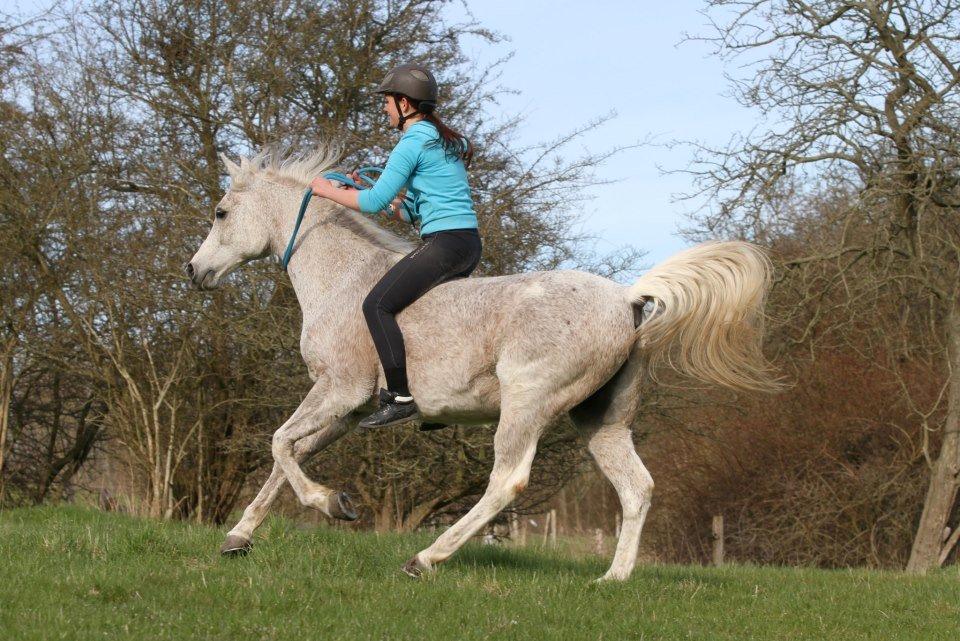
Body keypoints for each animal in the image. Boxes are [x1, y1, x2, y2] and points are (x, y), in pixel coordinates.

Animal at [186, 146, 780, 580]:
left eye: (220, 213)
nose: (194, 271)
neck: (340, 279)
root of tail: (628, 299)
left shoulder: (340, 391)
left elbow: (279, 444)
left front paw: (332, 503)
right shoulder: (348, 410)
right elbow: (288, 457)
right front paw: (239, 538)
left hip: (527, 402)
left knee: (507, 482)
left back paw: (425, 558)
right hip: (600, 420)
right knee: (637, 488)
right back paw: (611, 579)